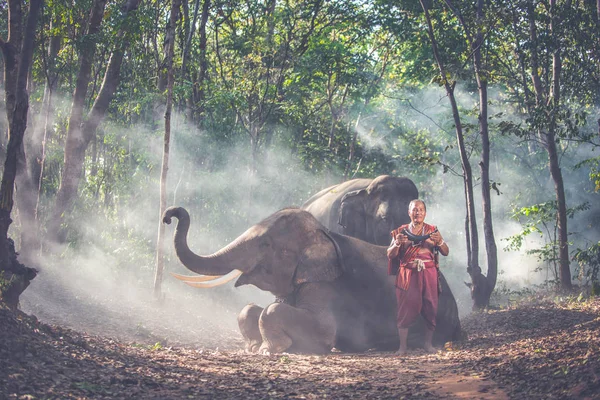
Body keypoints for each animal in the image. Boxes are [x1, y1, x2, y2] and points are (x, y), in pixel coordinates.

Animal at [162, 206, 462, 354]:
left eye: (266, 244)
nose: (169, 215)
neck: (324, 233)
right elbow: (252, 309)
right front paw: (253, 347)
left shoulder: (327, 285)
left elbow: (318, 327)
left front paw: (269, 350)